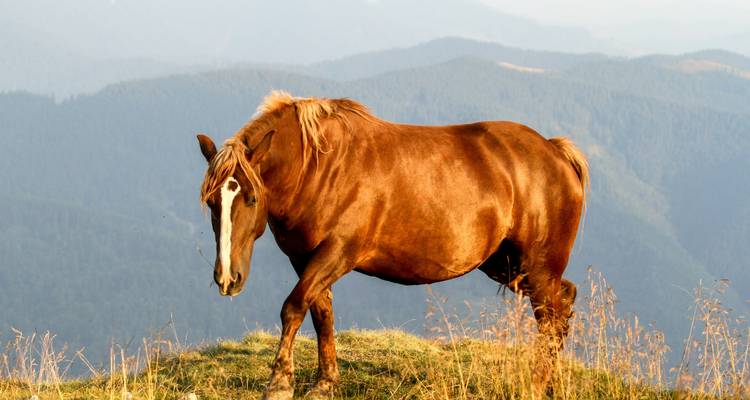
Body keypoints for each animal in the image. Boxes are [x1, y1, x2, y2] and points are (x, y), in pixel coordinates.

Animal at [196, 90, 588, 399]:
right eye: (213, 202)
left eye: (250, 198)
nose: (228, 278)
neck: (321, 167)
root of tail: (555, 152)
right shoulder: (303, 258)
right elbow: (321, 313)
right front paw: (325, 383)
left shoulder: (338, 253)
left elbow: (293, 308)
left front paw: (279, 383)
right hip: (508, 266)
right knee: (563, 302)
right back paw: (552, 383)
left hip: (536, 268)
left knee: (550, 315)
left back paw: (537, 384)